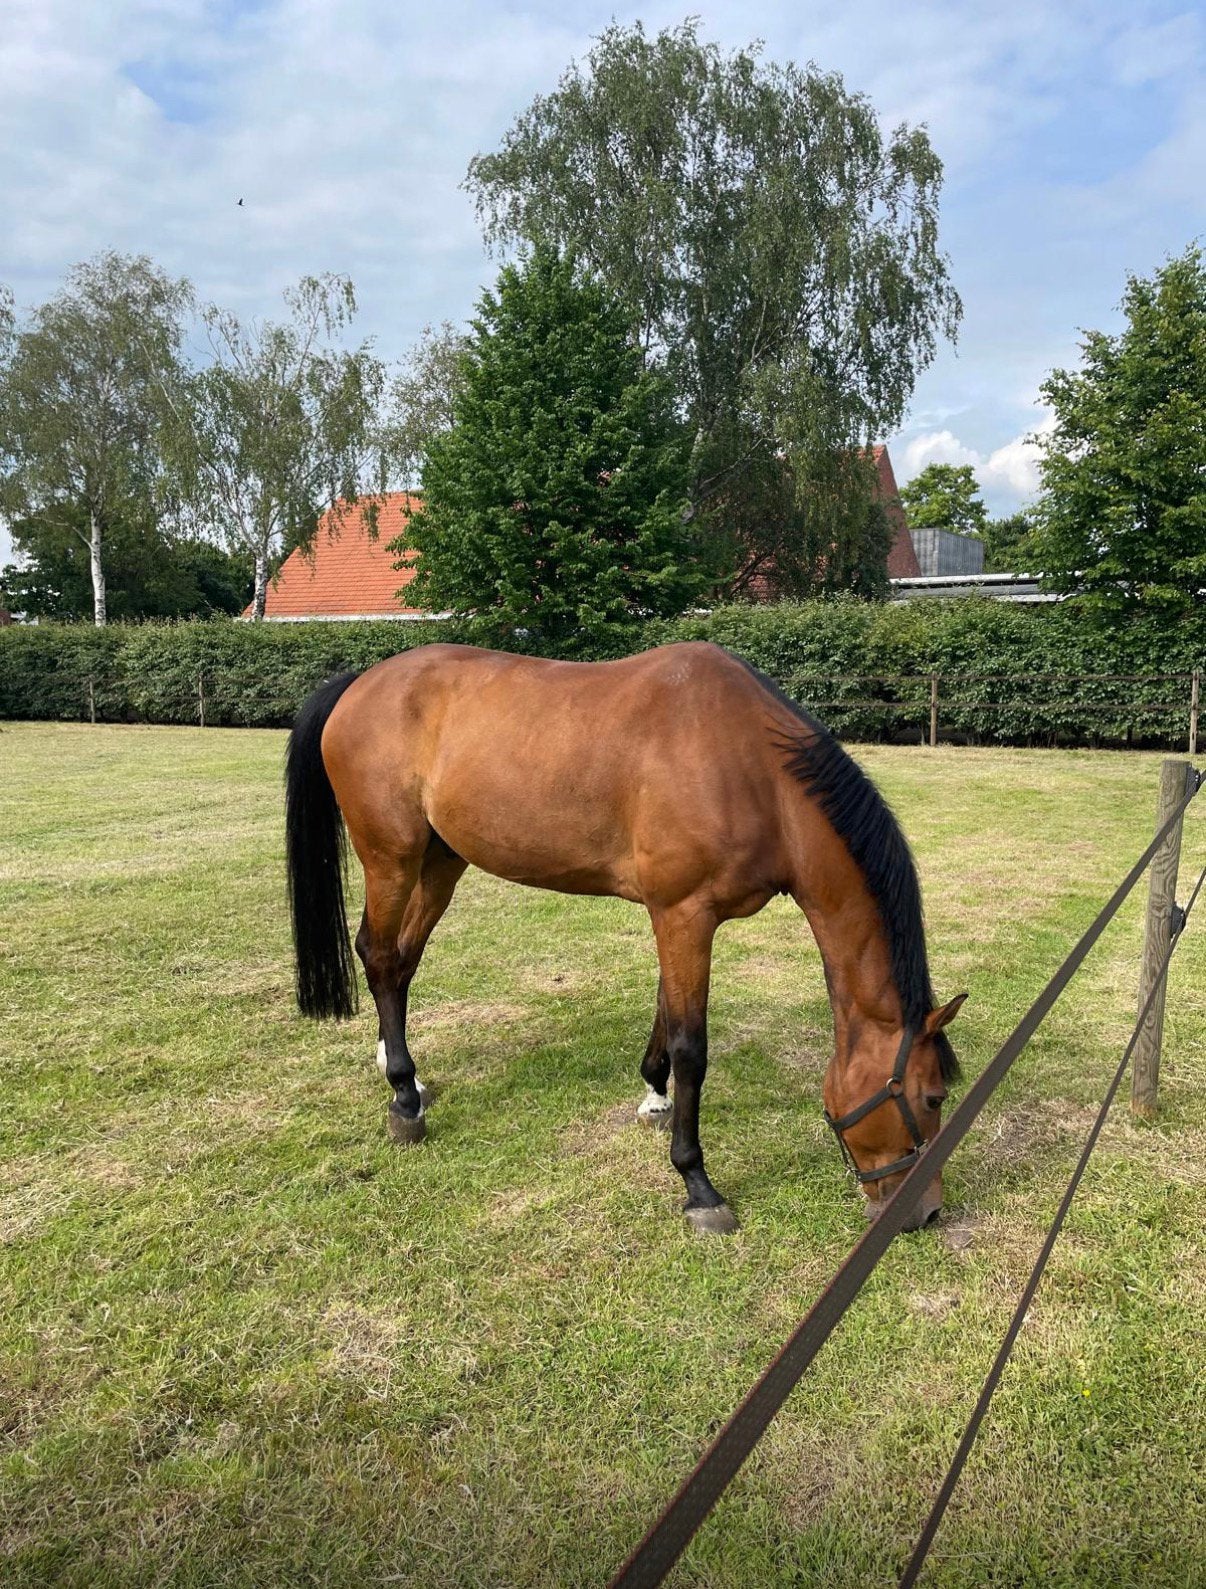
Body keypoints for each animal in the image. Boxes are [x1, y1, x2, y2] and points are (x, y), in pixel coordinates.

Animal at [285, 641, 964, 1234]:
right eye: (931, 1098)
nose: (927, 1211)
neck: (751, 768)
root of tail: (363, 682)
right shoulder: (685, 914)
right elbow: (692, 1046)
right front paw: (698, 1186)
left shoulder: (677, 918)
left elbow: (667, 1014)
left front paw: (655, 1098)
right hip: (391, 860)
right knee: (378, 955)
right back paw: (404, 1099)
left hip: (440, 862)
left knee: (401, 961)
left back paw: (405, 1076)